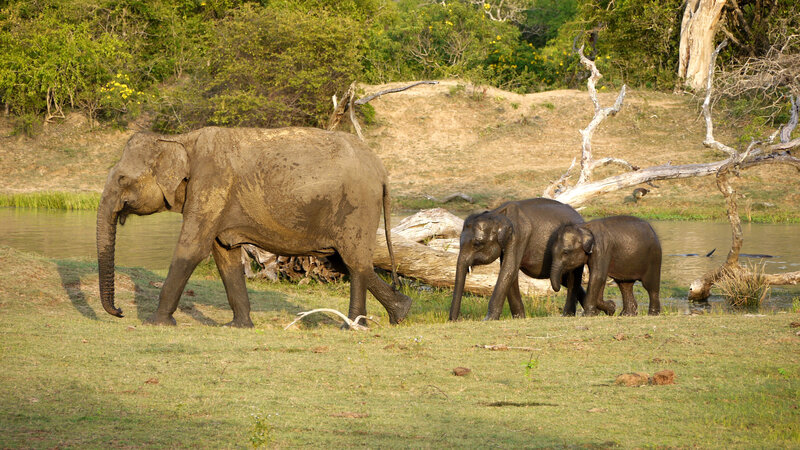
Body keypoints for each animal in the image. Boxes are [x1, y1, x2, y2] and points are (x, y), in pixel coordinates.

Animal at [97, 126, 412, 327]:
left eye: (122, 179)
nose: (120, 312)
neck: (179, 139)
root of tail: (382, 171)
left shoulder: (212, 183)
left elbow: (192, 249)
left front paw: (156, 324)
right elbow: (224, 255)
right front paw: (238, 326)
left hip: (357, 206)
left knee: (354, 262)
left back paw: (352, 326)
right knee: (350, 261)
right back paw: (401, 312)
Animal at [449, 198, 589, 321]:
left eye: (477, 244)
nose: (454, 320)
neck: (496, 213)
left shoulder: (519, 236)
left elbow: (508, 269)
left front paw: (488, 320)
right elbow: (511, 273)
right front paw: (519, 317)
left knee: (573, 279)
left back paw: (568, 314)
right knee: (564, 280)